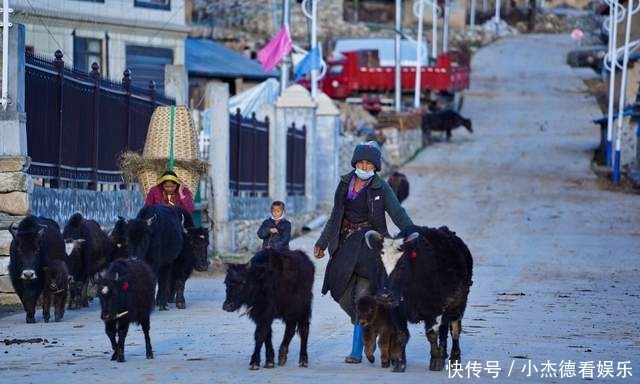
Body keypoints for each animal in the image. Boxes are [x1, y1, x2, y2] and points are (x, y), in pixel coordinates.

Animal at [364, 226, 476, 370]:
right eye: (379, 264)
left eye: (402, 265)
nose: (384, 296)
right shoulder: (396, 309)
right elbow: (402, 334)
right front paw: (400, 364)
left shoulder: (433, 310)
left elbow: (432, 334)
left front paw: (435, 362)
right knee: (444, 329)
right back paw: (443, 355)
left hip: (458, 304)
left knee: (454, 329)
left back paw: (454, 359)